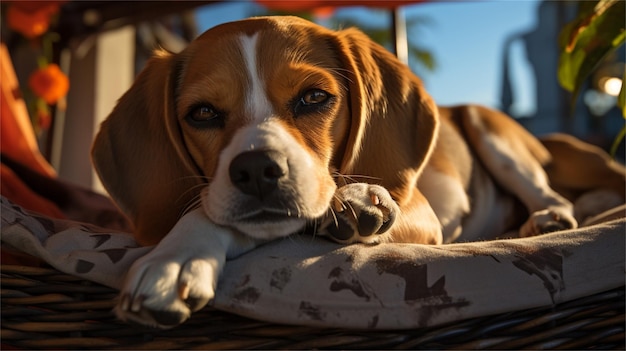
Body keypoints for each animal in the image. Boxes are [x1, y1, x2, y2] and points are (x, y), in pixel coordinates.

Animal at [90, 16, 620, 330]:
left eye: (314, 97)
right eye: (201, 113)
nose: (258, 169)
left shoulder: (420, 216)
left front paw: (175, 259)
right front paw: (177, 254)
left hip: (491, 131)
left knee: (554, 195)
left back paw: (550, 217)